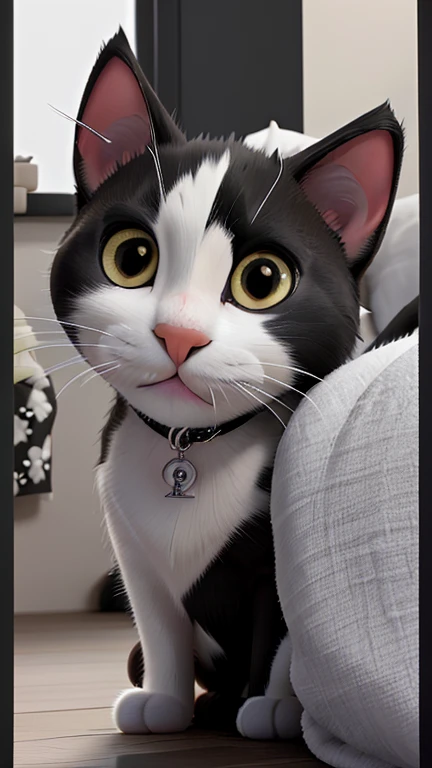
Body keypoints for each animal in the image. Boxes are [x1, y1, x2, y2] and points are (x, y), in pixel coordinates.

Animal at [50, 28, 404, 736]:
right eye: (132, 258)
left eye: (262, 279)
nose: (178, 333)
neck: (189, 447)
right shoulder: (132, 549)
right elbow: (158, 626)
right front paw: (164, 702)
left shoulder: (280, 551)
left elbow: (282, 629)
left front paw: (272, 707)